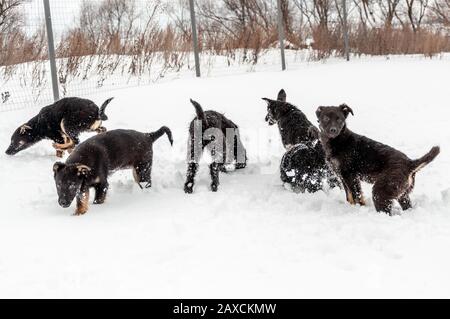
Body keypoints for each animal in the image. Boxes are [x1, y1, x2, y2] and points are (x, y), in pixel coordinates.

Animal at [312, 105, 442, 215]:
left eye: (339, 119)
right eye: (326, 118)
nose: (333, 130)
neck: (338, 141)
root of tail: (410, 163)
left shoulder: (351, 176)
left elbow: (357, 197)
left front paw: (358, 209)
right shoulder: (342, 176)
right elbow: (349, 197)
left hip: (380, 191)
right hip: (402, 194)